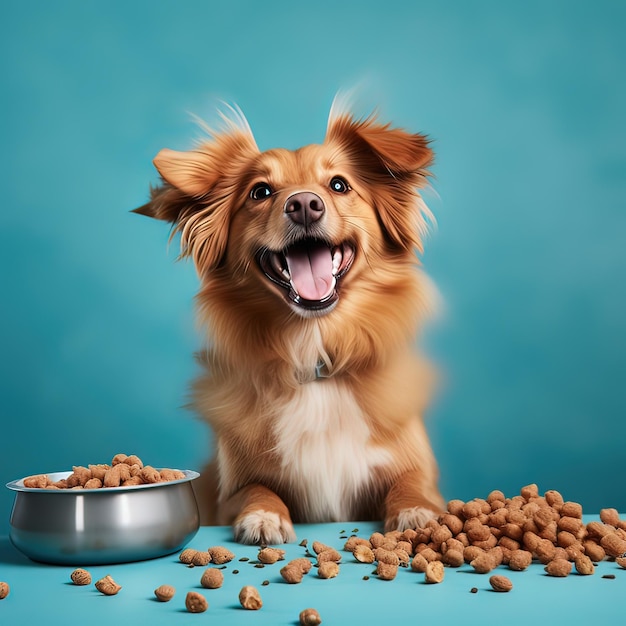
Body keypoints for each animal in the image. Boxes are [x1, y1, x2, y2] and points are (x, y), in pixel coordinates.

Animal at [135, 102, 444, 540]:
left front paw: (415, 512)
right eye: (260, 192)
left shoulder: (416, 469)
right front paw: (264, 515)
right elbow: (255, 490)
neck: (315, 357)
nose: (304, 204)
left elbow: (411, 484)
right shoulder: (228, 492)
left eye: (339, 185)